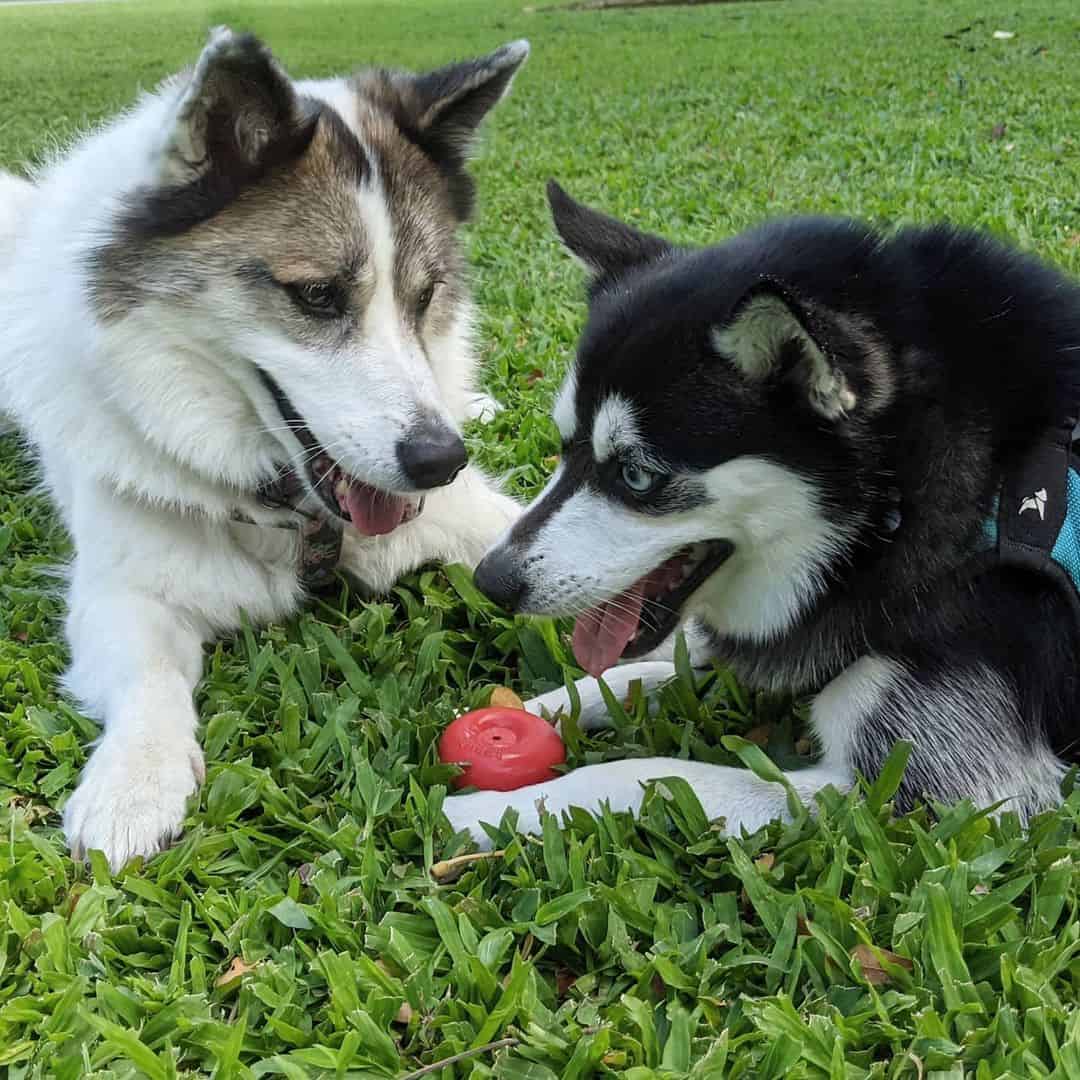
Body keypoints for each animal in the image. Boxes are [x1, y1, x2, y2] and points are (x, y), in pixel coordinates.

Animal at [0, 27, 527, 868]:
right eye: (316, 296)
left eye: (423, 297)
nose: (439, 461)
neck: (292, 508)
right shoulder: (117, 590)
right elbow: (149, 676)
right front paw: (132, 783)